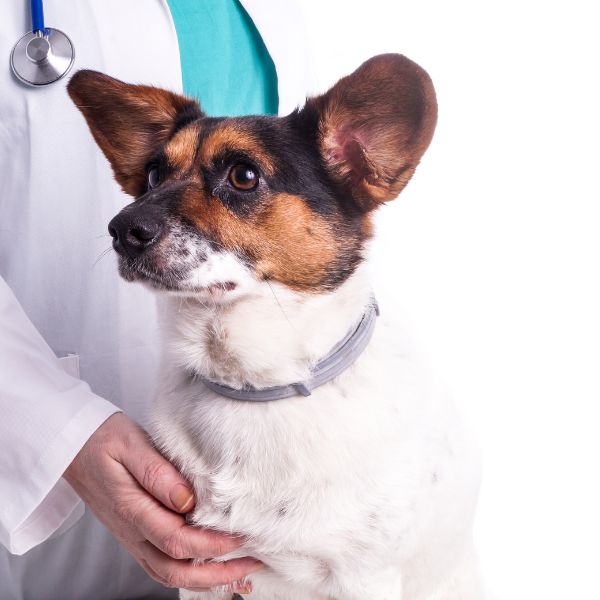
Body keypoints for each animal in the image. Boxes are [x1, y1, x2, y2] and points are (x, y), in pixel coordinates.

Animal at [68, 54, 486, 596]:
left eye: (244, 175)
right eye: (155, 173)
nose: (122, 230)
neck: (257, 385)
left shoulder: (364, 578)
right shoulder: (203, 571)